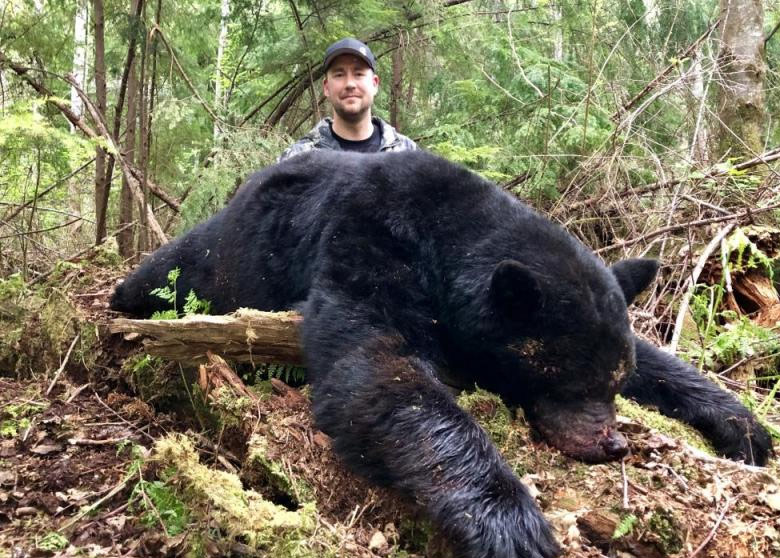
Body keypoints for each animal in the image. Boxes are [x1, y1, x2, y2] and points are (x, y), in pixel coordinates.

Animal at [111, 150, 772, 558]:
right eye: (564, 377)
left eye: (612, 378)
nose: (613, 444)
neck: (443, 233)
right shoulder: (368, 249)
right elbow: (378, 368)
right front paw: (511, 523)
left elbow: (658, 359)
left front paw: (742, 425)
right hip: (212, 258)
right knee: (161, 273)